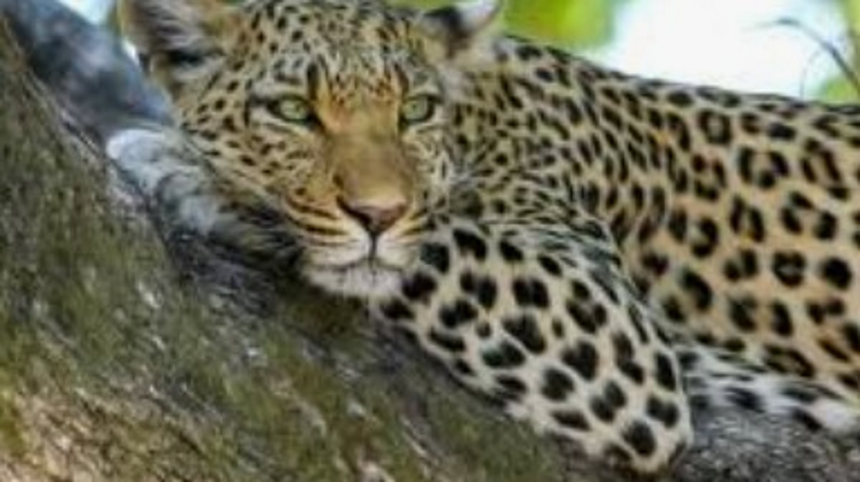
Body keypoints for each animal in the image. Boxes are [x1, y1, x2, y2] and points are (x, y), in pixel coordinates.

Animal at [113, 0, 860, 475]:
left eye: (414, 111)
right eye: (295, 112)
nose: (378, 214)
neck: (477, 118)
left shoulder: (612, 329)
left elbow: (436, 243)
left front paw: (189, 172)